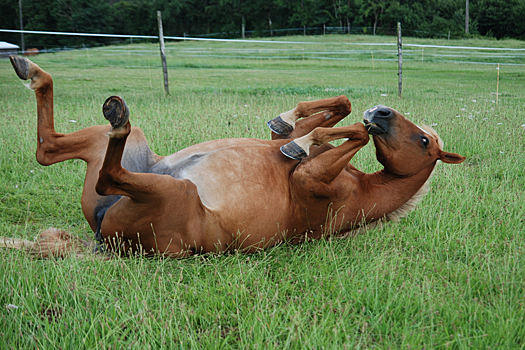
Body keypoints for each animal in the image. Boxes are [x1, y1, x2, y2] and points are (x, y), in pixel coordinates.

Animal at [3, 56, 462, 258]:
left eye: (424, 142)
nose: (381, 112)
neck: (360, 191)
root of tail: (101, 240)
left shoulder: (309, 181)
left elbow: (352, 135)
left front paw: (299, 144)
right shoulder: (303, 149)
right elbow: (336, 110)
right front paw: (288, 125)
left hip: (173, 192)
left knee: (105, 172)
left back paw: (116, 117)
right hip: (132, 151)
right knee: (47, 148)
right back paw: (30, 69)